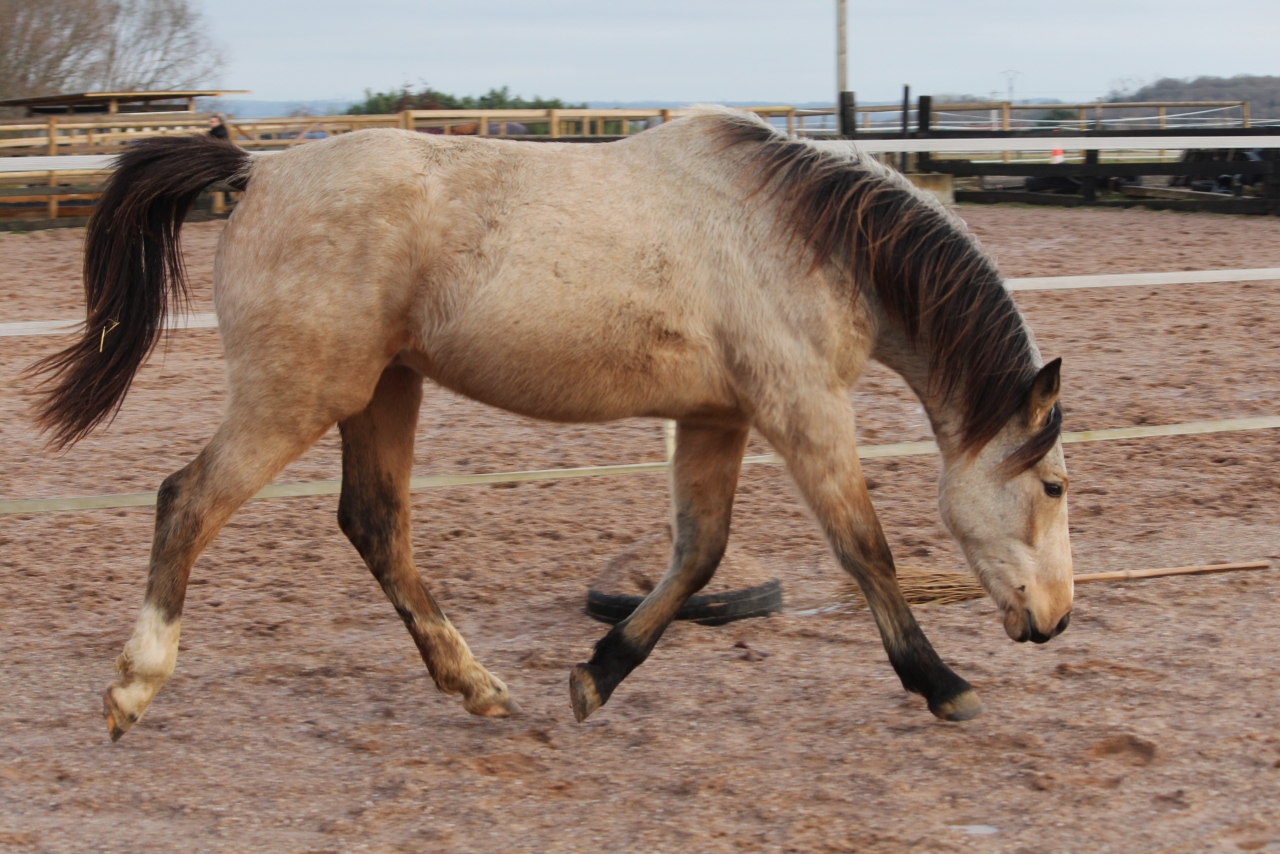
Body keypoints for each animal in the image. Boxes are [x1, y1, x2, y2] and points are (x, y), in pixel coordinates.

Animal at [28, 108, 1073, 742]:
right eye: (1055, 485)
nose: (1055, 622)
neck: (802, 235)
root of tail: (259, 169)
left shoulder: (717, 420)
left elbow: (699, 555)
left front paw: (597, 674)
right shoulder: (802, 408)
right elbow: (866, 551)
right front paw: (945, 686)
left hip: (383, 394)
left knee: (375, 526)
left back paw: (476, 685)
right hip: (297, 396)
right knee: (186, 500)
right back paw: (133, 687)